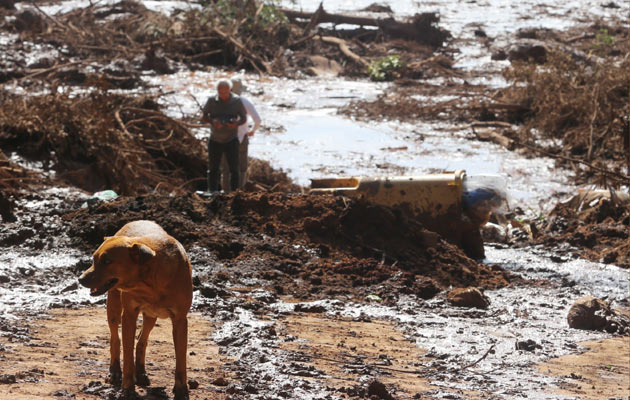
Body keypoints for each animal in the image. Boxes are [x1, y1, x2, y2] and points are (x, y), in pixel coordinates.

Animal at [79, 220, 193, 398]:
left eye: (107, 261)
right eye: (94, 259)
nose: (80, 279)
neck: (150, 282)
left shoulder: (180, 319)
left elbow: (181, 357)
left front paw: (181, 390)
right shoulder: (129, 315)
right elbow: (127, 353)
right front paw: (127, 388)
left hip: (151, 315)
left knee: (142, 340)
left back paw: (140, 373)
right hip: (113, 305)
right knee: (115, 338)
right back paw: (115, 371)